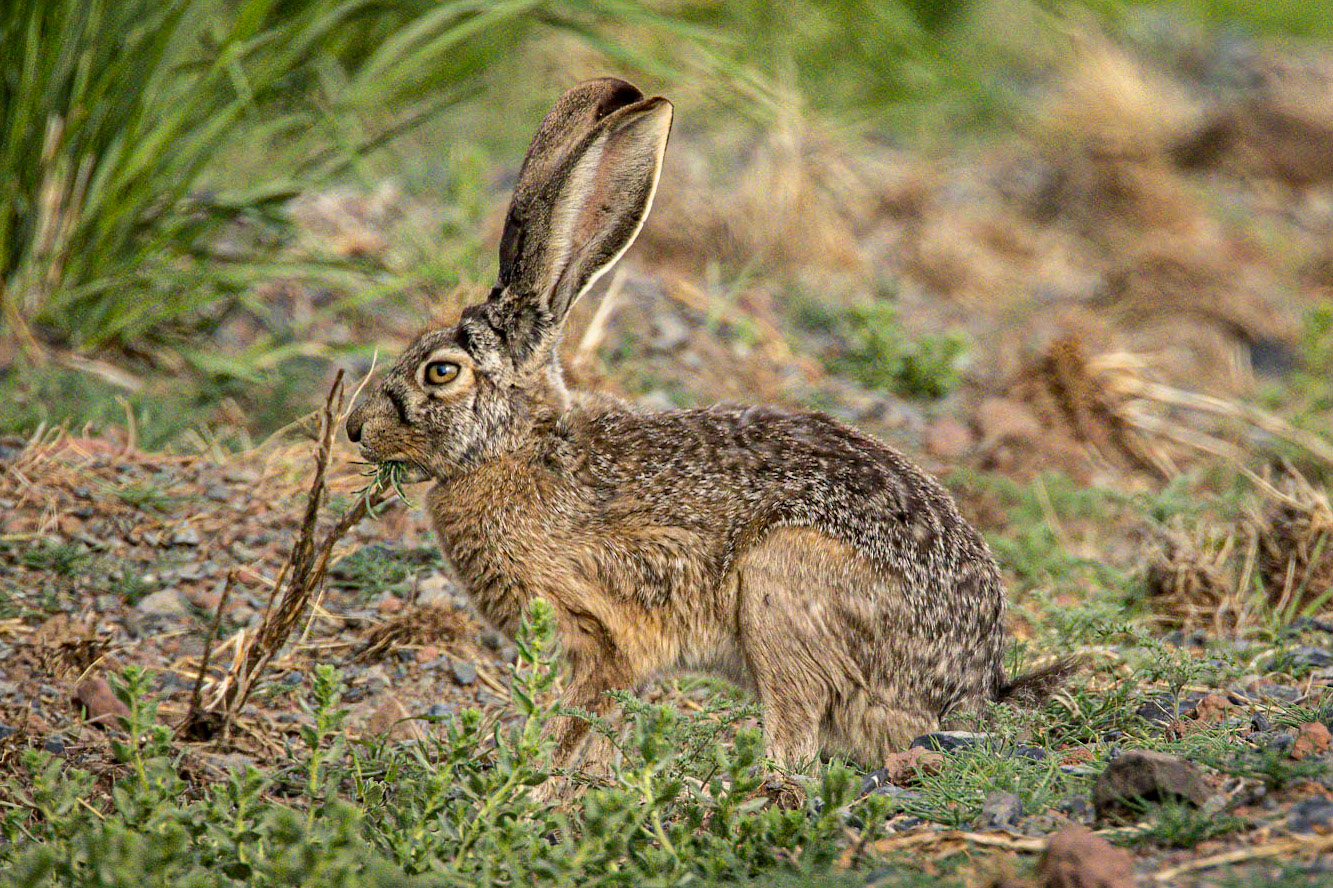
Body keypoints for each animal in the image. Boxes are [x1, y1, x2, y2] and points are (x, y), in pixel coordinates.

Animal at [345, 77, 1067, 777]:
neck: (518, 447)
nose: (355, 429)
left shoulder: (596, 629)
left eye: (441, 372)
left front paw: (539, 784)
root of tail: (964, 689)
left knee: (795, 738)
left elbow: (579, 715)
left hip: (781, 588)